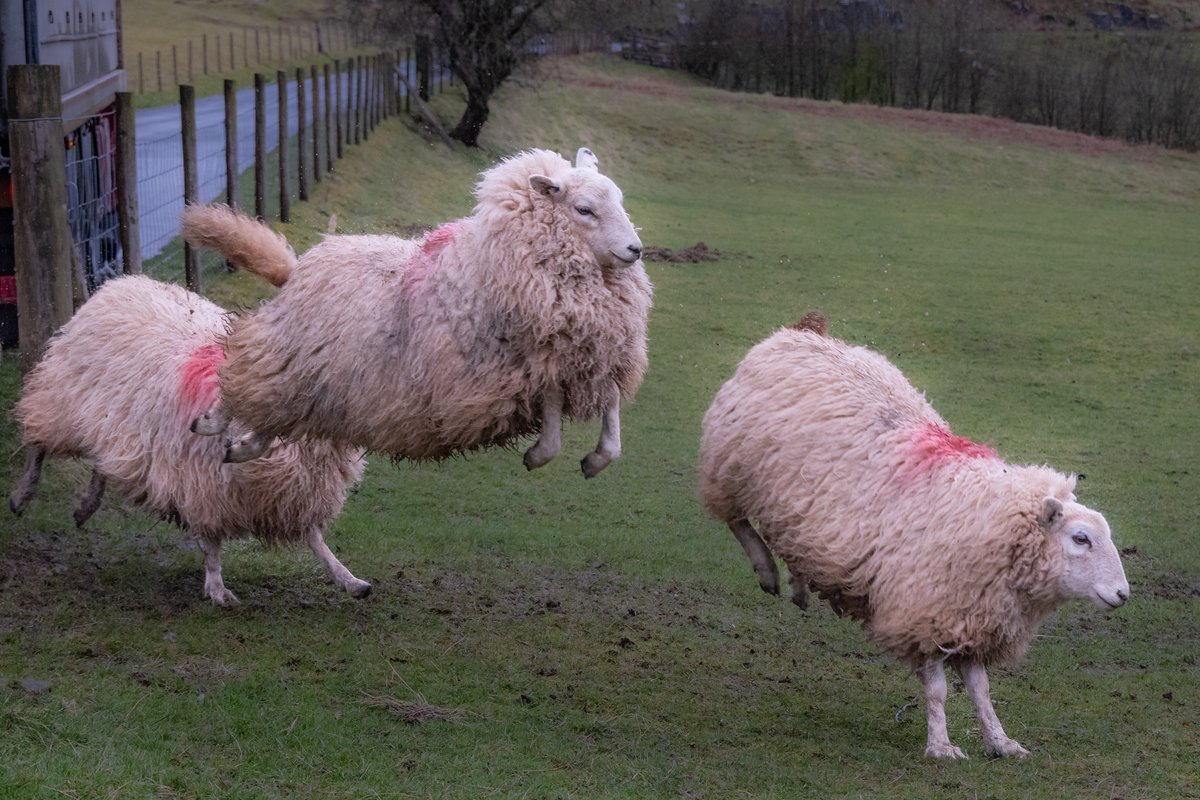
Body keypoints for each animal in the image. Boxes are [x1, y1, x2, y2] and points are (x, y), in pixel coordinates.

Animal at [8, 272, 369, 604]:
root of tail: (119, 283)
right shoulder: (203, 485)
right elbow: (211, 545)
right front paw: (218, 589)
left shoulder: (294, 493)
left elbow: (315, 539)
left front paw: (348, 579)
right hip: (60, 402)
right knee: (38, 445)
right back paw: (22, 495)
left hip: (114, 423)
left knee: (103, 463)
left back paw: (86, 506)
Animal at [178, 148, 652, 479]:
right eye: (584, 209)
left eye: (621, 201)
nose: (635, 249)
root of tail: (301, 267)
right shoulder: (539, 363)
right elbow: (552, 429)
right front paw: (538, 455)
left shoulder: (596, 356)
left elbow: (612, 422)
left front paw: (595, 460)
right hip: (286, 357)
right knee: (240, 382)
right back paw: (210, 422)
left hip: (316, 383)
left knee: (267, 415)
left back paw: (238, 448)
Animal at [700, 311, 1128, 758]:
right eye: (1081, 539)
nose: (1122, 594)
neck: (990, 518)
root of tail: (801, 332)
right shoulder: (925, 613)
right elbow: (938, 691)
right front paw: (941, 746)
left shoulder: (972, 615)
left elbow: (981, 689)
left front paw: (1000, 741)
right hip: (729, 466)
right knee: (737, 521)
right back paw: (766, 571)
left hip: (798, 511)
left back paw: (799, 585)